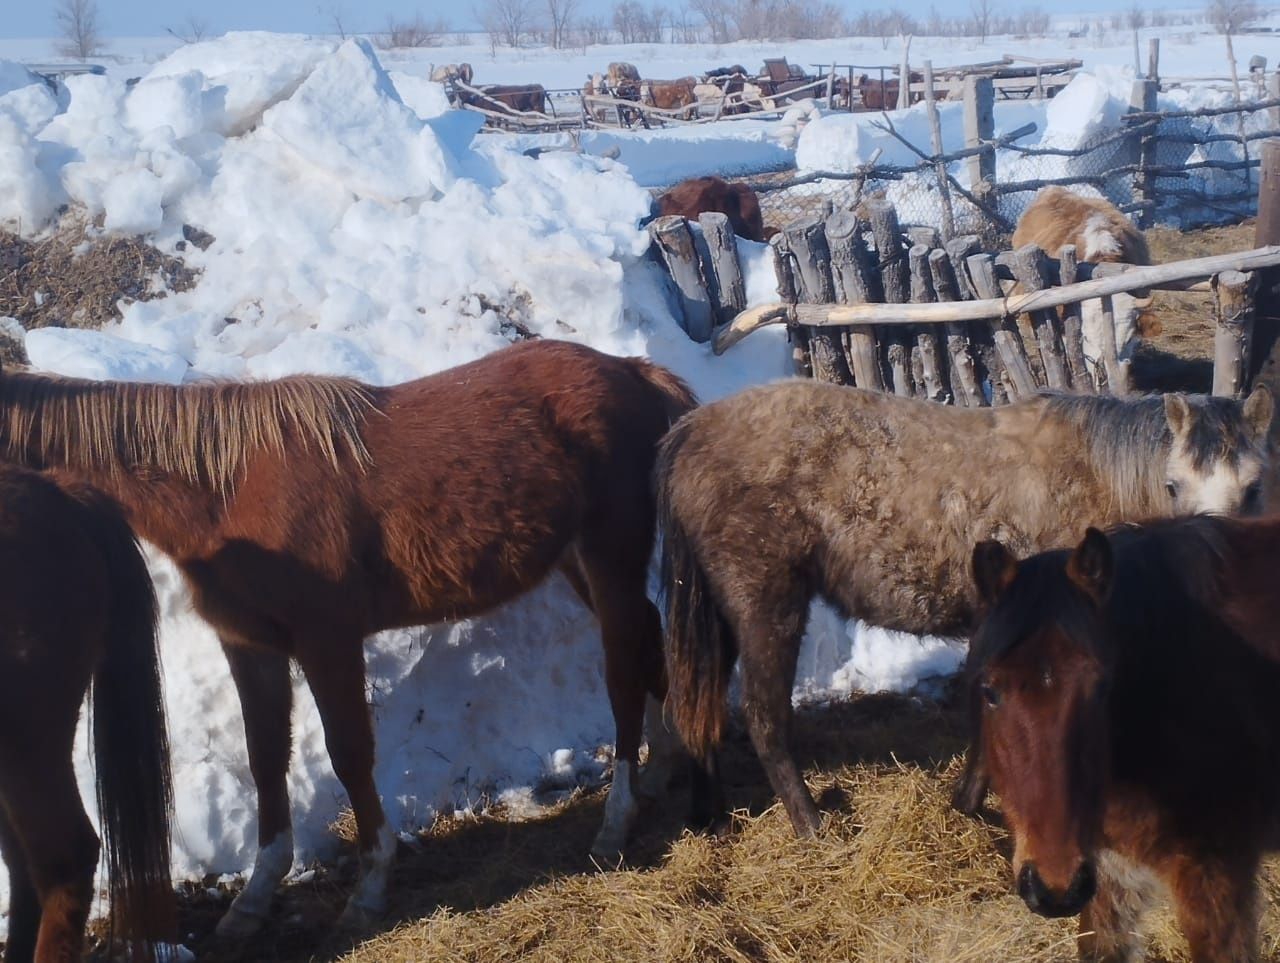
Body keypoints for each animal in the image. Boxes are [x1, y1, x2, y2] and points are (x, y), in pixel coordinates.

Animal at [655, 381, 1274, 834]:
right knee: (762, 717)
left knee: (696, 705)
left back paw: (709, 816)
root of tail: (691, 430)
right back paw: (811, 824)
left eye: (1254, 486)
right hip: (767, 605)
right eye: (1173, 484)